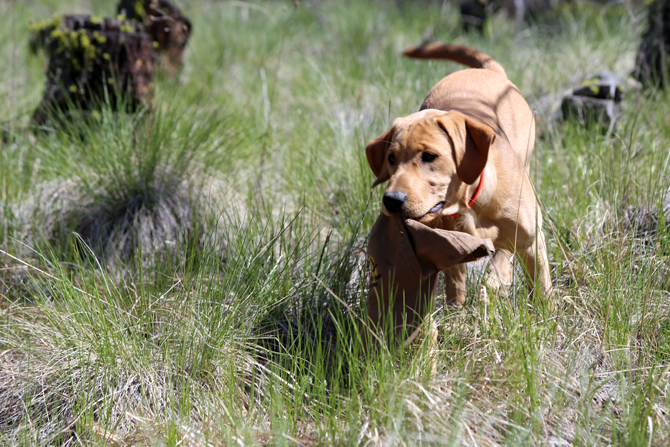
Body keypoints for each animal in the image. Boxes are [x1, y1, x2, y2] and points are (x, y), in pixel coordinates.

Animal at [368, 43, 552, 306]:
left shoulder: (533, 242)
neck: (468, 204)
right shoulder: (448, 248)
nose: (392, 200)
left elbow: (541, 289)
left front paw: (548, 312)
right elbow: (456, 291)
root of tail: (488, 71)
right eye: (391, 158)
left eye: (429, 156)